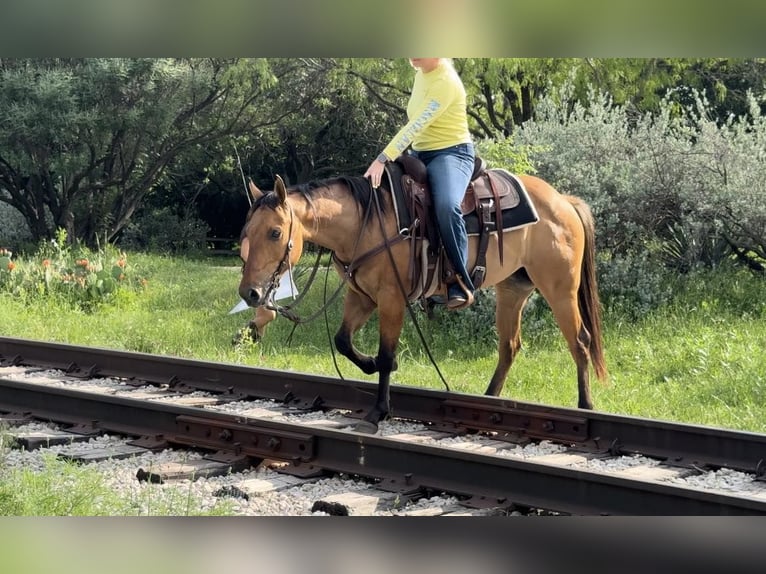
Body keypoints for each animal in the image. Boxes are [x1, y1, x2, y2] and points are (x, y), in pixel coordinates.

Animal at [237, 160, 608, 434]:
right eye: (247, 231)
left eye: (275, 232)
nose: (250, 293)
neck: (367, 221)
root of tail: (563, 200)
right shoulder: (361, 295)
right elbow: (343, 341)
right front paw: (370, 366)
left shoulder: (391, 298)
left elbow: (386, 353)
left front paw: (378, 411)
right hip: (512, 290)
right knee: (510, 346)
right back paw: (488, 401)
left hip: (560, 289)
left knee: (580, 342)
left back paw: (586, 408)